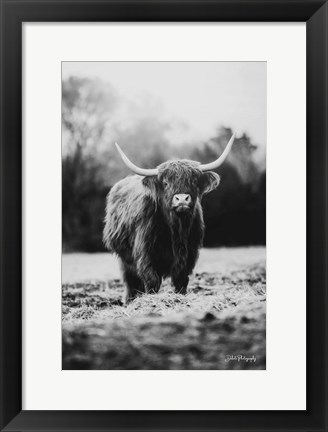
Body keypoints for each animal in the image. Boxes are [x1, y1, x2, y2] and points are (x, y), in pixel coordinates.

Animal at [104, 133, 234, 302]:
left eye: (193, 181)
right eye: (165, 183)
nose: (182, 199)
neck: (176, 228)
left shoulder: (189, 254)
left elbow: (181, 280)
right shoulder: (145, 254)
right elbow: (151, 280)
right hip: (124, 257)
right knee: (130, 281)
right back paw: (130, 301)